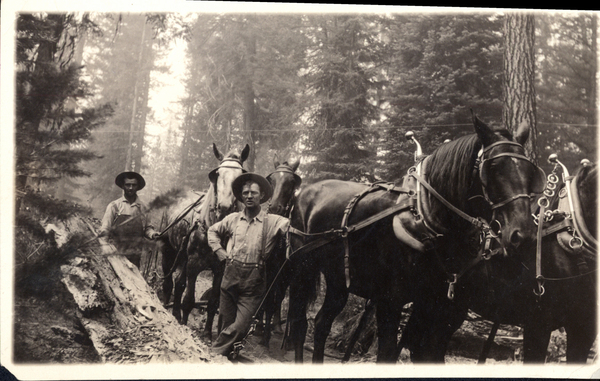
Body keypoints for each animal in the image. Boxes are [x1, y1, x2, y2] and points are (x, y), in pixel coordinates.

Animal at [158, 142, 250, 342]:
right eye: (217, 174)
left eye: (241, 178)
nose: (224, 207)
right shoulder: (194, 263)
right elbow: (189, 299)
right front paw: (186, 325)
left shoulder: (220, 269)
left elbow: (213, 302)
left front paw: (207, 332)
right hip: (168, 251)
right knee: (169, 283)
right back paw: (167, 308)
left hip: (183, 256)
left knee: (179, 283)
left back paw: (175, 314)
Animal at [284, 116, 540, 362]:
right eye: (493, 168)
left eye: (530, 171)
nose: (522, 234)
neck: (426, 217)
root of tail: (306, 192)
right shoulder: (390, 300)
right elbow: (388, 353)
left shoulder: (434, 303)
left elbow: (428, 353)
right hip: (302, 270)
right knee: (299, 323)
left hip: (337, 279)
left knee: (321, 323)